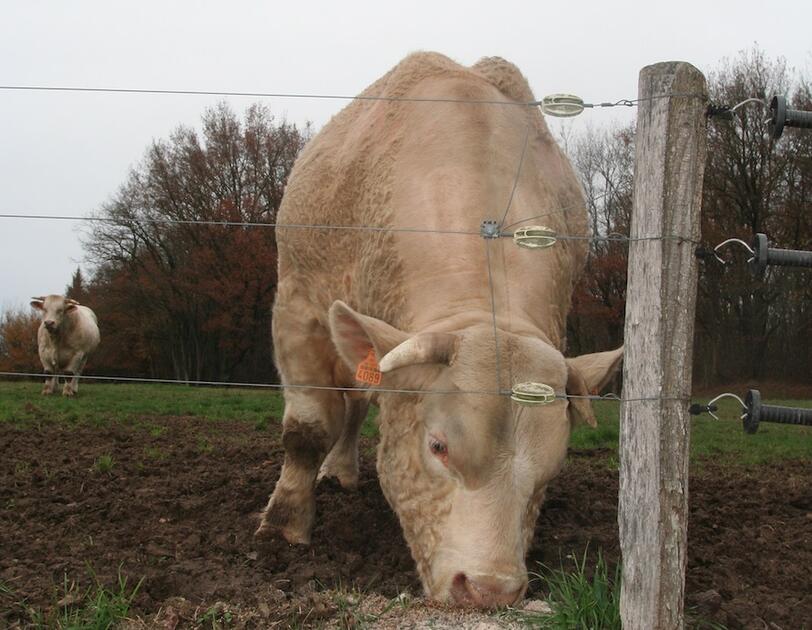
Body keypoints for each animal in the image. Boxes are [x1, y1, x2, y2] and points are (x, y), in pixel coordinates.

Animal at [256, 53, 624, 608]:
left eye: (552, 469)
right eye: (438, 447)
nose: (490, 589)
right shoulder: (299, 305)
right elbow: (307, 428)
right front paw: (284, 525)